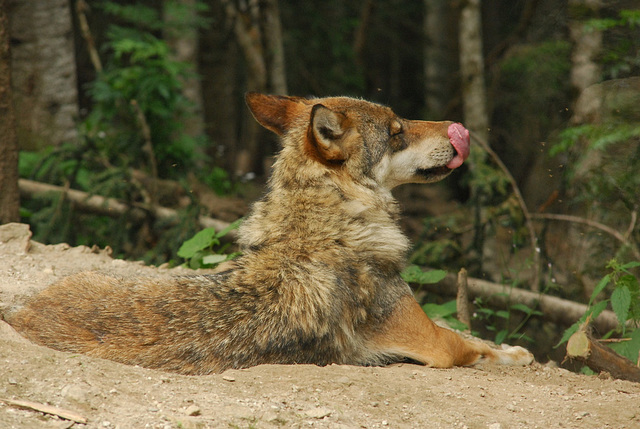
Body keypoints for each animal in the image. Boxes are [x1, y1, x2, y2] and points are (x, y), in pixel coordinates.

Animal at [7, 92, 532, 372]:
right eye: (397, 131)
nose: (459, 127)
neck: (322, 227)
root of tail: (19, 313)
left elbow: (473, 334)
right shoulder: (435, 345)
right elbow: (472, 343)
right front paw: (516, 352)